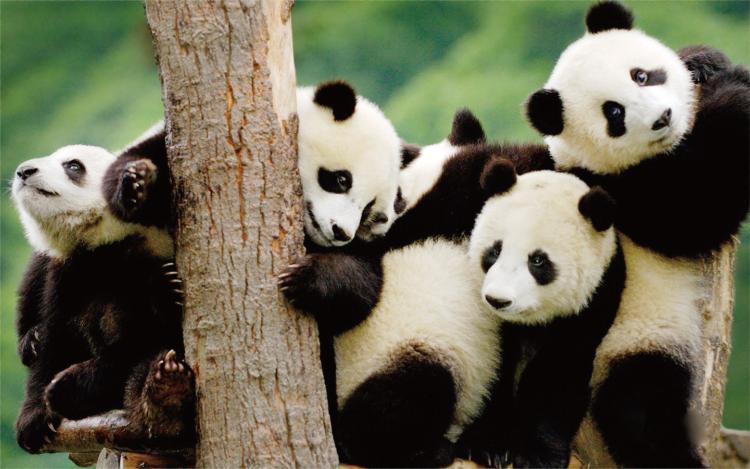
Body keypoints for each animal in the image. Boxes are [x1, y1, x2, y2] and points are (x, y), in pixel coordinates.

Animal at [11, 133, 194, 453]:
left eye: (73, 165)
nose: (24, 171)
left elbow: (137, 342)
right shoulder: (70, 273)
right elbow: (56, 338)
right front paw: (34, 418)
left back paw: (164, 395)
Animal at [457, 170, 624, 469]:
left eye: (537, 261)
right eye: (494, 251)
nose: (498, 299)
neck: (529, 322)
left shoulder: (593, 302)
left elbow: (558, 375)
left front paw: (537, 456)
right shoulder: (494, 323)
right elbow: (494, 363)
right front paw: (486, 445)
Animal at [524, 2, 750, 466]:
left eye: (641, 75)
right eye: (614, 113)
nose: (663, 117)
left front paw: (704, 62)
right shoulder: (619, 191)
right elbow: (698, 208)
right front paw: (737, 89)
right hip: (631, 337)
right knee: (639, 412)